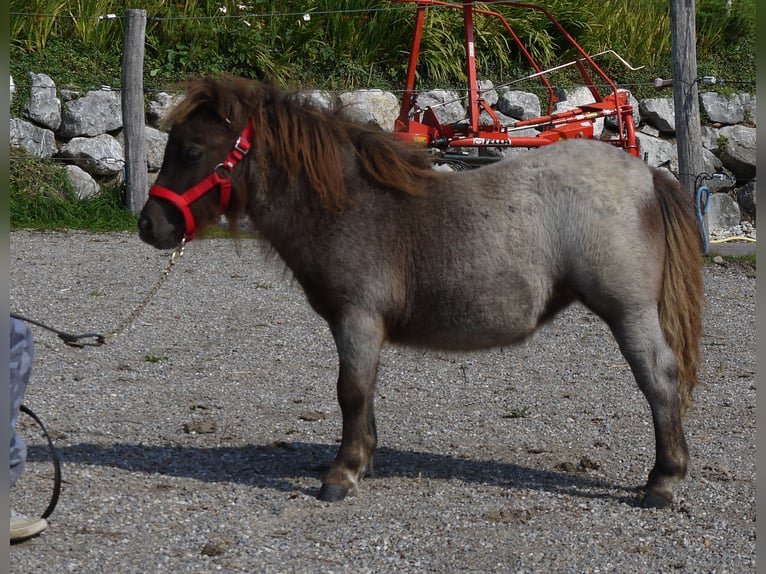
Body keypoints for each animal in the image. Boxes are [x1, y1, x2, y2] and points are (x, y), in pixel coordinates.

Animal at [140, 75, 708, 508]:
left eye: (192, 150)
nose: (150, 225)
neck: (350, 206)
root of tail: (648, 175)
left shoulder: (357, 318)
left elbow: (350, 391)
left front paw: (341, 475)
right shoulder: (360, 326)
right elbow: (363, 393)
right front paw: (363, 461)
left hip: (629, 311)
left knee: (659, 379)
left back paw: (663, 482)